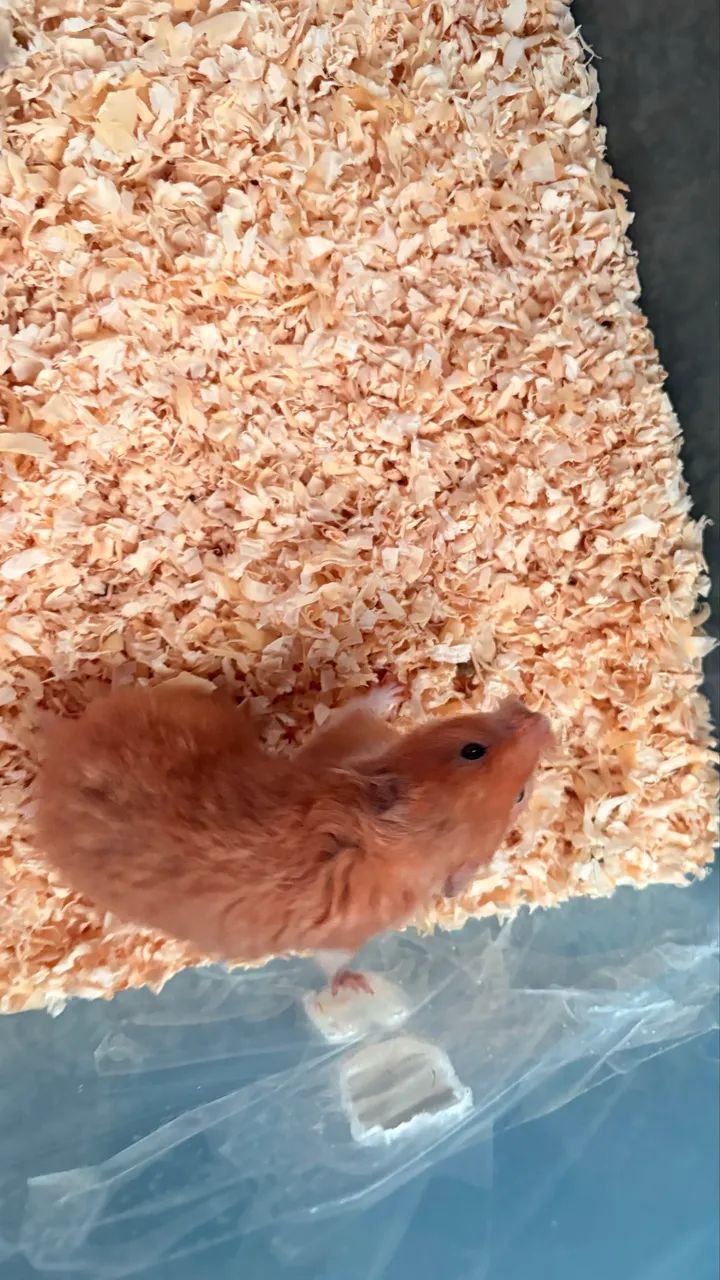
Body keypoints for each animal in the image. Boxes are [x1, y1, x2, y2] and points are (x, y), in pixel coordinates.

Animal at [35, 682, 553, 994]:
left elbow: (332, 963)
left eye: (520, 793)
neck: (401, 846)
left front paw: (355, 985)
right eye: (472, 750)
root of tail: (56, 764)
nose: (543, 721)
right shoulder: (344, 744)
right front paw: (396, 688)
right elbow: (350, 711)